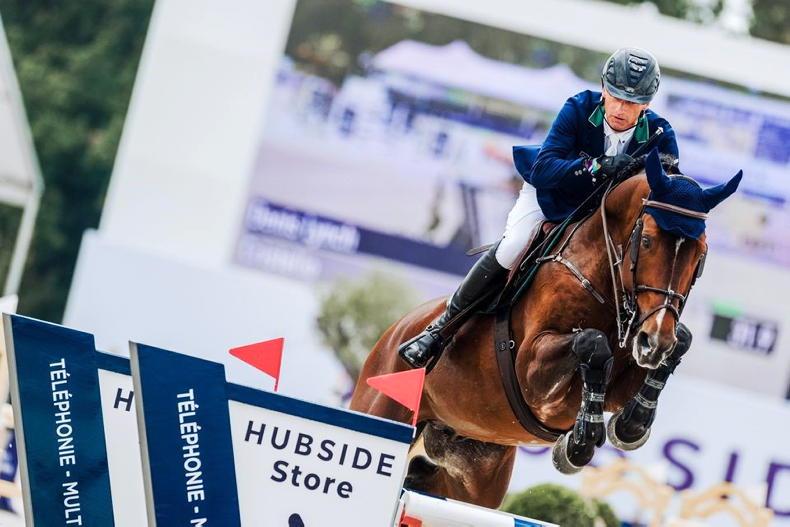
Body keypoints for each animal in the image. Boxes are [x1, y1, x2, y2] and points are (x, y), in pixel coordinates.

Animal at [349, 149, 742, 509]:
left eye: (700, 254)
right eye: (647, 242)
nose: (654, 341)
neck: (608, 283)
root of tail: (393, 333)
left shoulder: (626, 372)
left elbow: (680, 343)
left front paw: (631, 424)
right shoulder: (531, 373)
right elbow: (591, 343)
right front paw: (580, 443)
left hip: (471, 478)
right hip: (384, 409)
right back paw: (422, 346)